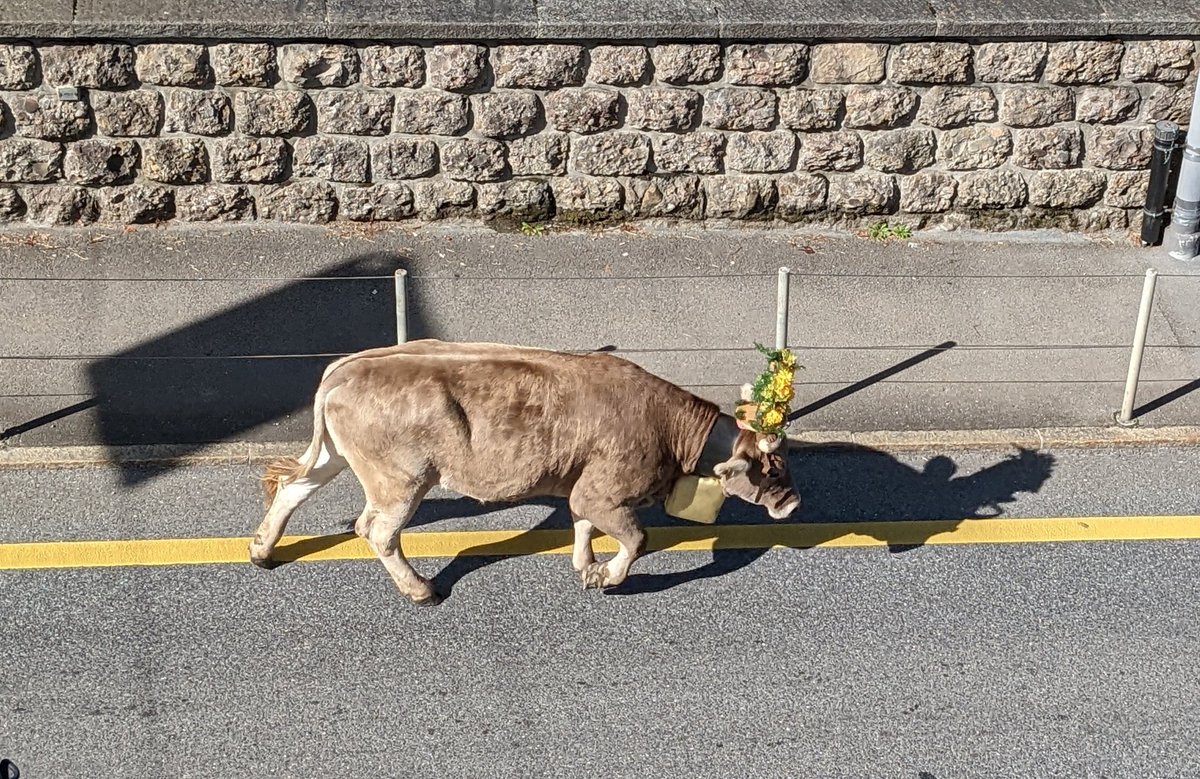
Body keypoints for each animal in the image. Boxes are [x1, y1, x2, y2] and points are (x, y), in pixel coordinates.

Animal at [249, 339, 800, 605]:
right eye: (774, 467)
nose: (793, 502)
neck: (670, 429)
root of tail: (347, 367)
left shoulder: (585, 486)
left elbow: (583, 525)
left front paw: (586, 566)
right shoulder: (606, 490)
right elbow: (636, 538)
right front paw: (607, 577)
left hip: (338, 456)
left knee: (294, 488)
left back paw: (261, 550)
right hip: (402, 479)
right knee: (377, 530)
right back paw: (421, 590)